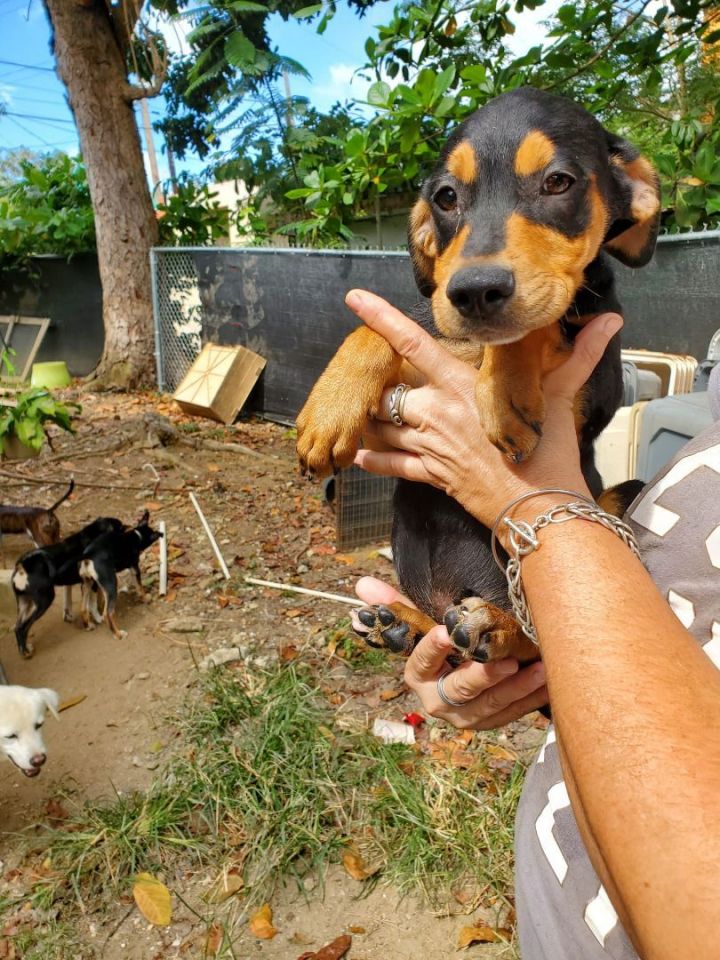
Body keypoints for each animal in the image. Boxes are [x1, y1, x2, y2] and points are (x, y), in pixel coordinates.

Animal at [12, 516, 125, 660]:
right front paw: (98, 618)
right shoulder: (91, 583)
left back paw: (24, 650)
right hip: (44, 600)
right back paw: (26, 653)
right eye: (120, 528)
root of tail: (22, 565)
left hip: (24, 602)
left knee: (17, 627)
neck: (92, 534)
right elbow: (92, 603)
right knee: (24, 628)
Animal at [79, 506, 162, 640]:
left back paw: (88, 626)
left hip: (87, 583)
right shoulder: (135, 569)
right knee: (107, 613)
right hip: (111, 585)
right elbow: (140, 588)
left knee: (83, 608)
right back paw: (118, 634)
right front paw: (146, 599)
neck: (136, 536)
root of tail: (89, 555)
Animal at [296, 86, 660, 664]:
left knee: (531, 639)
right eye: (445, 197)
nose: (472, 293)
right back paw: (400, 623)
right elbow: (382, 326)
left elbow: (539, 323)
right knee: (442, 627)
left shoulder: (595, 373)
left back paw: (494, 625)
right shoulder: (427, 342)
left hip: (610, 500)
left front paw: (507, 395)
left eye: (559, 182)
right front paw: (326, 413)